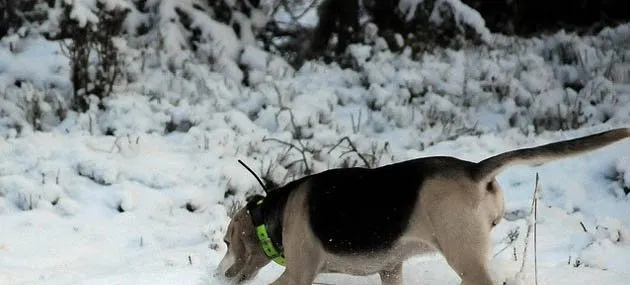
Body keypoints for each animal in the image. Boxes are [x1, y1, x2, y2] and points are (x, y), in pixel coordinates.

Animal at [216, 127, 630, 282]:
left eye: (225, 243)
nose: (219, 273)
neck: (273, 215)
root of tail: (474, 169)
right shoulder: (390, 269)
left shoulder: (298, 274)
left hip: (465, 257)